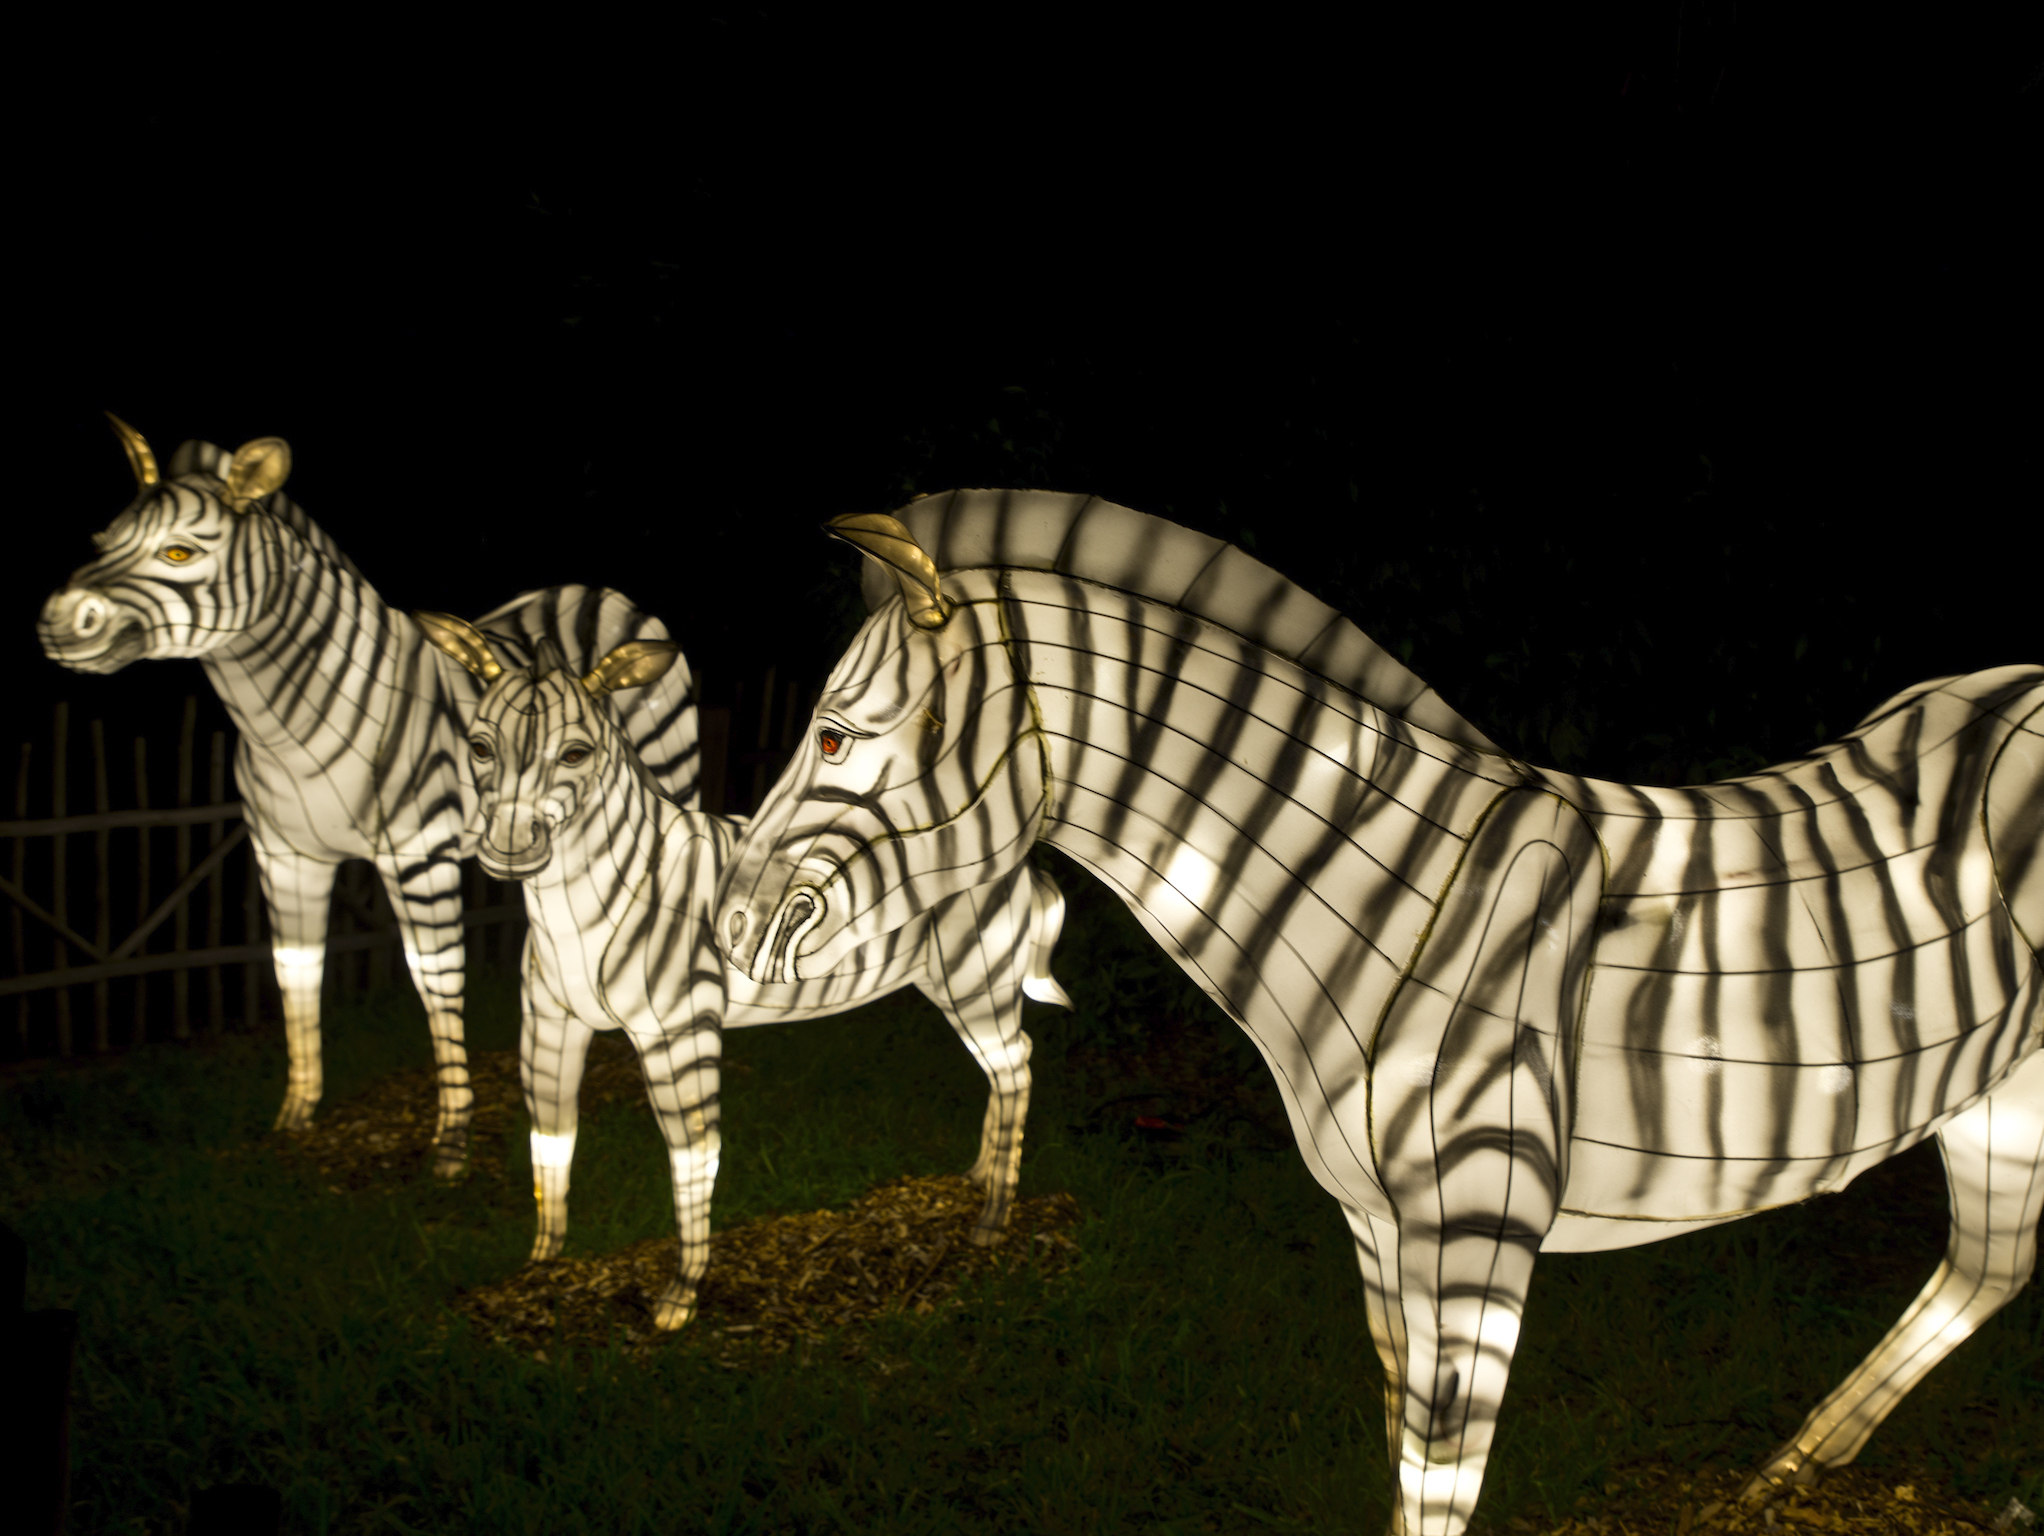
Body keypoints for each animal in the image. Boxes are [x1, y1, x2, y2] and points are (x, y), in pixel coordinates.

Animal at [33, 421, 694, 1178]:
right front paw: (295, 1117)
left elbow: (437, 984)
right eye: (101, 539)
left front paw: (451, 1145)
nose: (59, 623)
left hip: (667, 773)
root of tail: (604, 590)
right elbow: (296, 972)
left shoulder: (418, 855)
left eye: (179, 551)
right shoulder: (281, 854)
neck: (285, 725)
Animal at [406, 617, 1062, 1325]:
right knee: (1006, 1070)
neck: (583, 911)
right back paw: (978, 1180)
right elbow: (551, 1141)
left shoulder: (679, 1032)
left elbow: (693, 1158)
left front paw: (679, 1299)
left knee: (1017, 1065)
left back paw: (993, 1221)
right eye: (479, 746)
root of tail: (1020, 864)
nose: (509, 849)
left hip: (976, 978)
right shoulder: (548, 1025)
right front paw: (540, 1266)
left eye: (576, 754)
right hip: (968, 987)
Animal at [711, 492, 2035, 1536]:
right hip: (1991, 1097)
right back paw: (1787, 1475)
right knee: (1987, 1267)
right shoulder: (1376, 1227)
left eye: (835, 735)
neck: (1376, 894)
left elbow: (1443, 1477)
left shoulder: (1480, 1233)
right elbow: (1403, 1451)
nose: (724, 925)